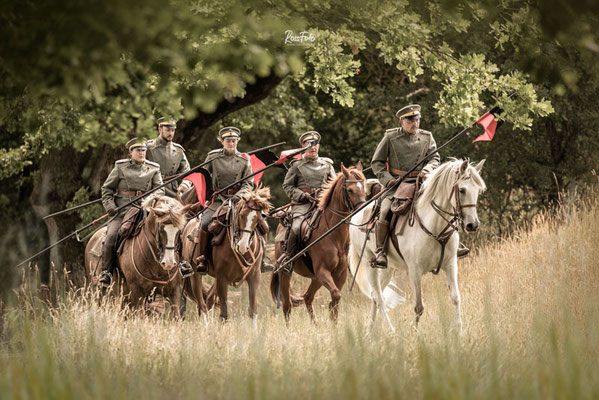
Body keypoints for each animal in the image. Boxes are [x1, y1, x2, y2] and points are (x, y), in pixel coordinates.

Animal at [182, 188, 274, 322]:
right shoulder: (222, 278)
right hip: (195, 274)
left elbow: (253, 311)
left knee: (209, 299)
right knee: (202, 305)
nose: (242, 246)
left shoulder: (254, 277)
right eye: (241, 215)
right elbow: (224, 314)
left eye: (258, 219)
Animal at [270, 162, 366, 322]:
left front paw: (334, 324)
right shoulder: (323, 271)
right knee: (287, 306)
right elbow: (336, 295)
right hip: (286, 274)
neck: (334, 236)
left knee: (307, 297)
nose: (362, 212)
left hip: (315, 278)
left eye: (364, 187)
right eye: (350, 190)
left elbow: (335, 300)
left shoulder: (340, 274)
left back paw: (315, 324)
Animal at [352, 159, 488, 332]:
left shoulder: (451, 265)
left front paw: (459, 331)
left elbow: (456, 298)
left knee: (377, 295)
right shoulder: (415, 271)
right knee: (378, 296)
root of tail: (356, 215)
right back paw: (391, 330)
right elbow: (419, 306)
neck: (435, 226)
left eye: (478, 191)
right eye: (462, 190)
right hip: (368, 262)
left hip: (388, 268)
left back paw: (370, 331)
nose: (473, 225)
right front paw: (414, 331)